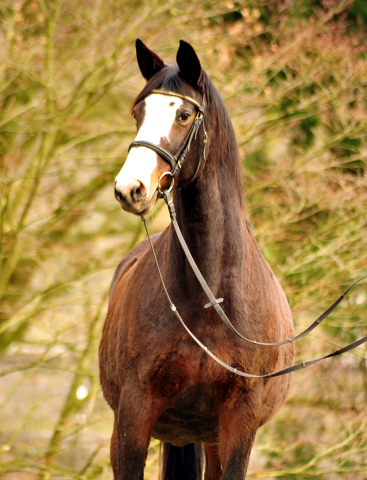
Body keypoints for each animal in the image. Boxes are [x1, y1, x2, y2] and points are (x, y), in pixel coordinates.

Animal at [99, 39, 294, 478]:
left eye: (184, 114)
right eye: (138, 112)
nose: (130, 188)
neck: (211, 296)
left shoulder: (239, 423)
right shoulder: (133, 416)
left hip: (209, 438)